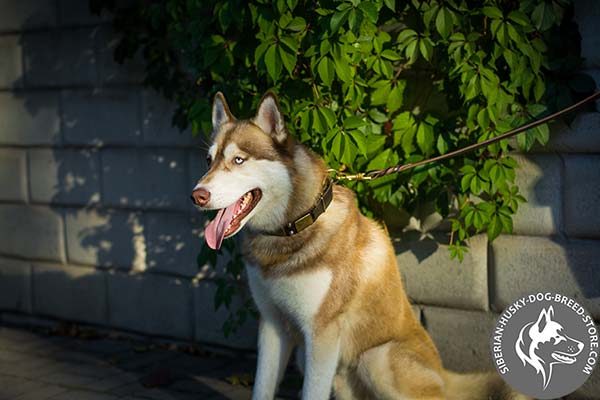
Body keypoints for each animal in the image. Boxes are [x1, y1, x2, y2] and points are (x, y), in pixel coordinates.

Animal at [191, 91, 528, 400]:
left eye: (238, 160)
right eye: (209, 160)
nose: (197, 195)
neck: (290, 230)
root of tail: (445, 376)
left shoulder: (322, 333)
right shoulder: (273, 324)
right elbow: (262, 388)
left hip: (376, 358)